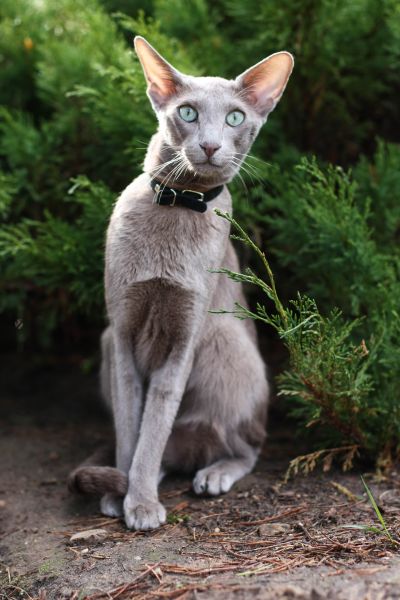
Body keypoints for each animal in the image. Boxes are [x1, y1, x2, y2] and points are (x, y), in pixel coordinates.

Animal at [69, 36, 294, 528]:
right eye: (188, 112)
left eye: (234, 118)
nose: (209, 145)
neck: (178, 203)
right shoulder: (122, 334)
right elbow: (132, 428)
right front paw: (121, 494)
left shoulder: (183, 340)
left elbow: (154, 424)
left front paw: (140, 503)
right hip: (107, 342)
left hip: (229, 344)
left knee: (247, 444)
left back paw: (213, 475)